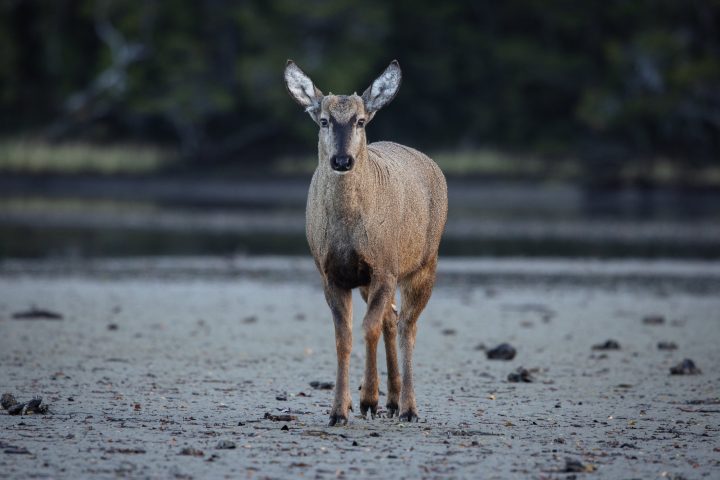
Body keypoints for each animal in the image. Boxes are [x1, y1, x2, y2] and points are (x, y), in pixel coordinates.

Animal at [286, 59, 444, 424]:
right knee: (392, 318)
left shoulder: (385, 266)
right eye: (324, 120)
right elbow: (343, 337)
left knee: (407, 325)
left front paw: (367, 399)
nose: (343, 160)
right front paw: (339, 410)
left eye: (360, 120)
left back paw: (408, 407)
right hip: (371, 280)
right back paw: (393, 400)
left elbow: (368, 327)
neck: (348, 228)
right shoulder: (332, 274)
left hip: (424, 263)